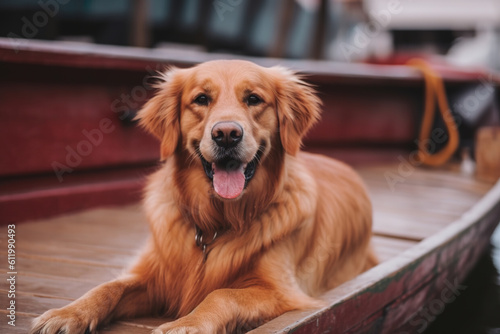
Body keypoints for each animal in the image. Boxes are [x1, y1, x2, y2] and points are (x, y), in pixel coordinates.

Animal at [30, 60, 376, 334]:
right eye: (201, 99)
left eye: (254, 99)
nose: (226, 134)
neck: (216, 221)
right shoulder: (157, 273)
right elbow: (109, 286)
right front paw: (68, 313)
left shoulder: (282, 291)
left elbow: (222, 294)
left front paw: (187, 324)